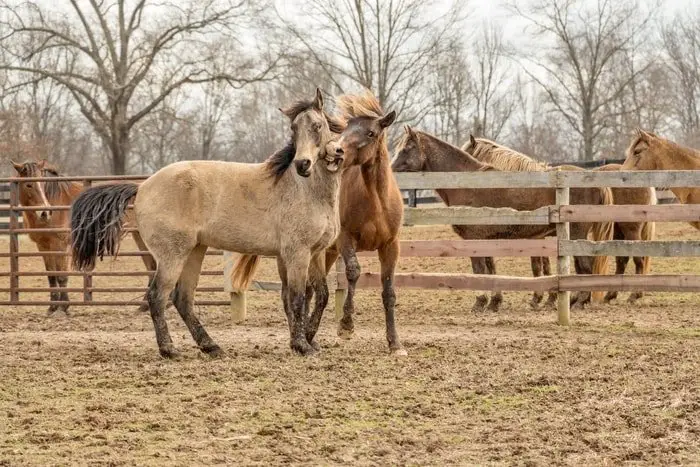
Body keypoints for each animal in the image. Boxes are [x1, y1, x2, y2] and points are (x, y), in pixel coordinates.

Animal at [10, 159, 156, 316]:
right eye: (29, 185)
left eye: (43, 184)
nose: (45, 212)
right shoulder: (43, 246)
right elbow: (51, 276)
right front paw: (52, 307)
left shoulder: (60, 245)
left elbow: (61, 275)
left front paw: (63, 307)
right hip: (139, 236)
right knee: (152, 267)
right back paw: (144, 307)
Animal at [71, 88, 344, 358]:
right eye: (294, 129)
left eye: (318, 126)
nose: (302, 164)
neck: (304, 190)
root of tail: (143, 186)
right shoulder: (297, 253)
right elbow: (297, 298)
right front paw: (301, 345)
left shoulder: (315, 253)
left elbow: (319, 295)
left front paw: (308, 340)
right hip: (173, 255)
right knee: (158, 296)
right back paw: (170, 349)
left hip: (194, 251)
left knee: (182, 298)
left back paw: (211, 346)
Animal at [394, 128, 612, 310]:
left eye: (407, 148)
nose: (390, 169)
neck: (467, 183)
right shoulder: (487, 240)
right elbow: (491, 269)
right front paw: (494, 301)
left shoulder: (474, 240)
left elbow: (479, 269)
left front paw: (480, 302)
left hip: (576, 235)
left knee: (585, 266)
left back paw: (579, 301)